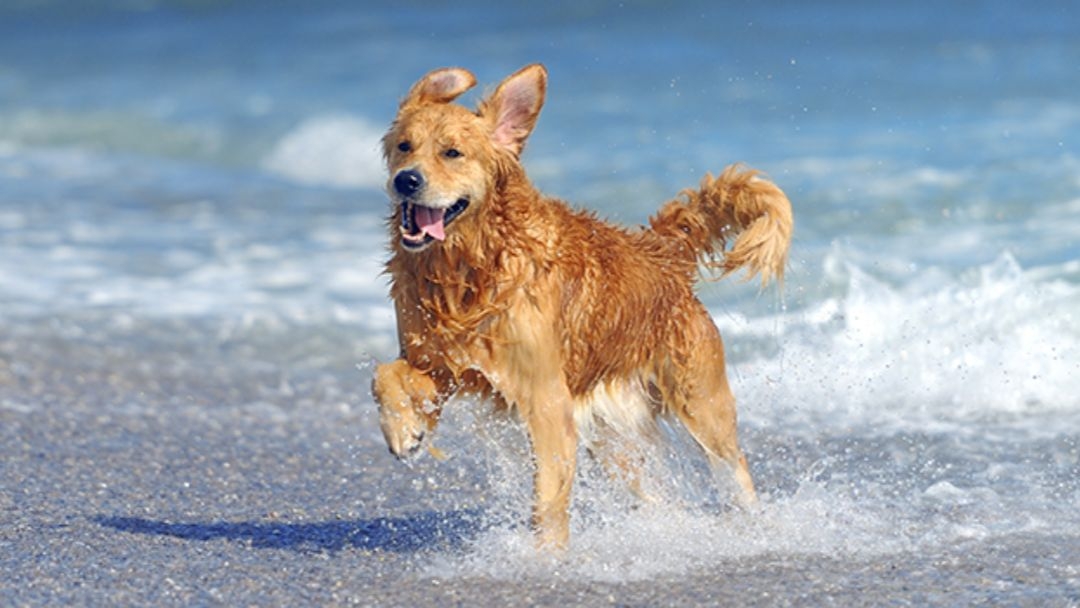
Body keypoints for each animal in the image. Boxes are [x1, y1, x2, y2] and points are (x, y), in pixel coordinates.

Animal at [371, 64, 794, 548]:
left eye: (452, 153)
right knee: (653, 493)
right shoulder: (443, 365)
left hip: (701, 404)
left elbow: (549, 496)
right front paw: (404, 431)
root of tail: (662, 253)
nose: (406, 179)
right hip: (614, 437)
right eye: (404, 146)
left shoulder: (545, 397)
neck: (470, 268)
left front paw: (546, 556)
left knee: (733, 469)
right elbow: (386, 374)